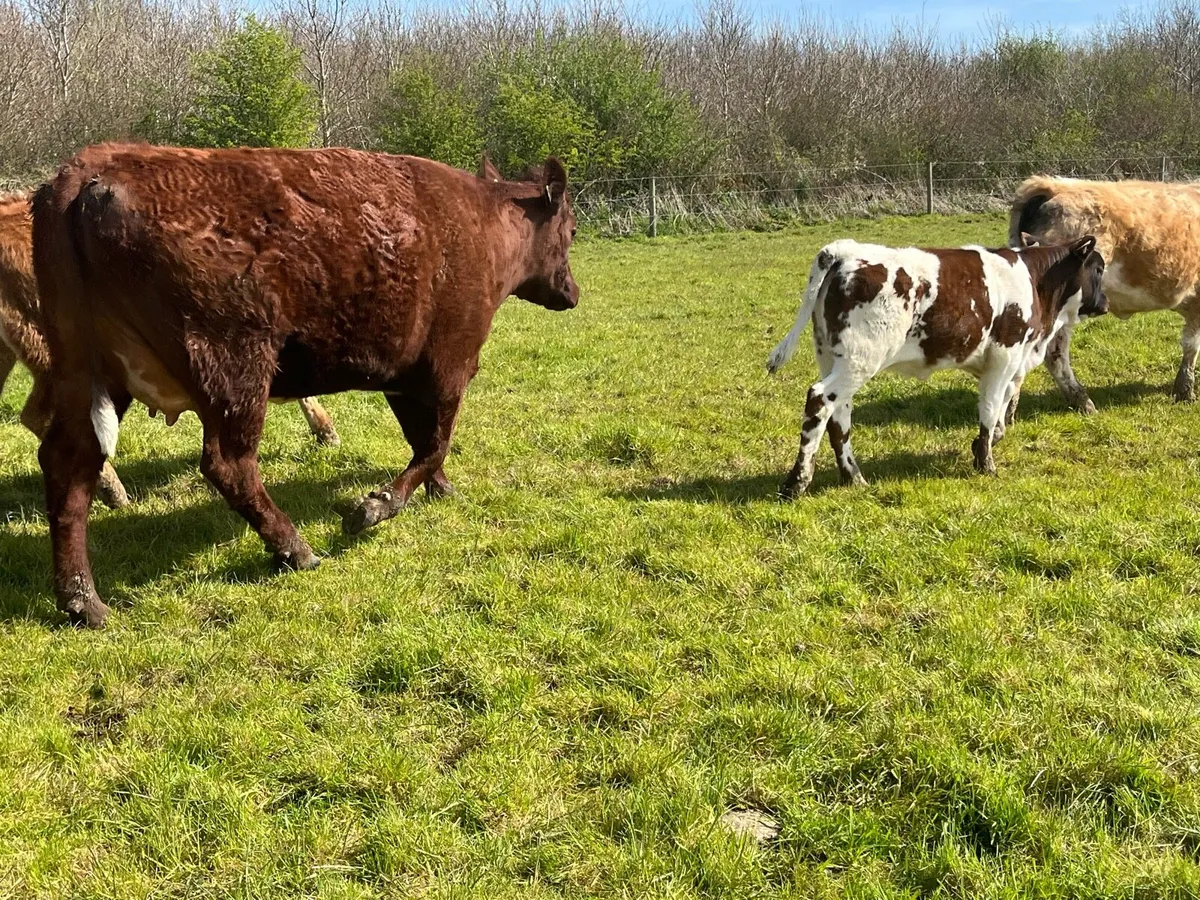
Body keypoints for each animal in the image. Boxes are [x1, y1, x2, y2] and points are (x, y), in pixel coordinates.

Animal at [766, 236, 1107, 497]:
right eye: (1099, 268)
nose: (1104, 302)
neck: (1035, 282)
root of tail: (844, 250)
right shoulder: (1004, 358)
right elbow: (989, 412)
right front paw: (986, 464)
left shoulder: (1010, 366)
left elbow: (999, 416)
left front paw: (980, 446)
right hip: (859, 361)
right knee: (819, 400)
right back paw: (796, 483)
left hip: (833, 359)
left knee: (838, 418)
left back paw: (854, 477)